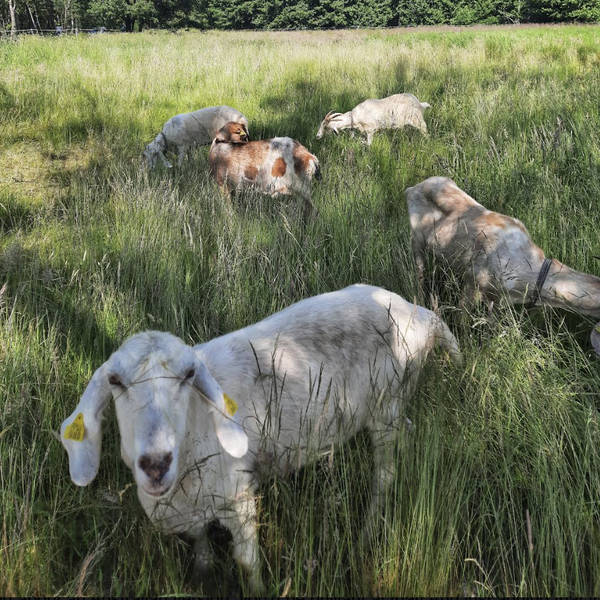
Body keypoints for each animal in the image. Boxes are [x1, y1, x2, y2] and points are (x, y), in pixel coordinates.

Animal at [59, 284, 460, 592]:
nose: (156, 464)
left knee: (385, 475)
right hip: (391, 409)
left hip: (385, 406)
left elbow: (247, 560)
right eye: (114, 381)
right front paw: (203, 574)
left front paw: (256, 590)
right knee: (407, 433)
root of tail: (420, 313)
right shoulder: (192, 508)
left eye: (189, 375)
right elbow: (201, 543)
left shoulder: (239, 497)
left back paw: (366, 532)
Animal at [404, 173, 600, 352]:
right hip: (416, 241)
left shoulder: (498, 298)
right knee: (419, 274)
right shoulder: (473, 281)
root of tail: (413, 187)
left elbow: (491, 323)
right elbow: (462, 319)